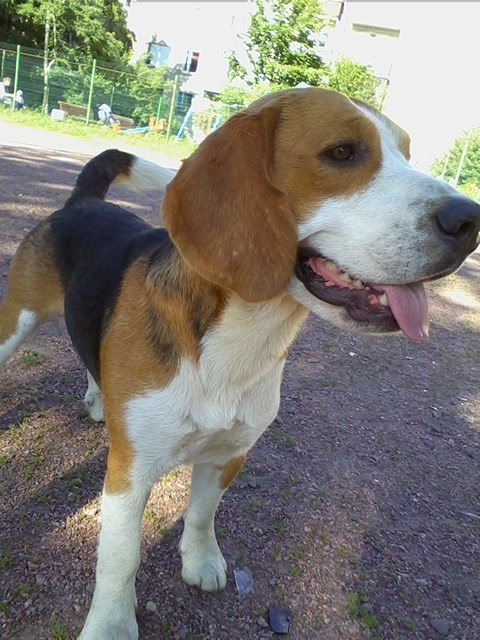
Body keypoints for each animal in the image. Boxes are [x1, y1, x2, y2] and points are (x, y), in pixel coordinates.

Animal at [1, 87, 480, 639]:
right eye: (342, 152)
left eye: (407, 152)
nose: (470, 221)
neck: (242, 339)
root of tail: (84, 202)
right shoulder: (129, 472)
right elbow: (121, 558)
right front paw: (111, 625)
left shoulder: (230, 452)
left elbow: (202, 515)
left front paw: (200, 561)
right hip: (17, 321)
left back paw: (99, 397)